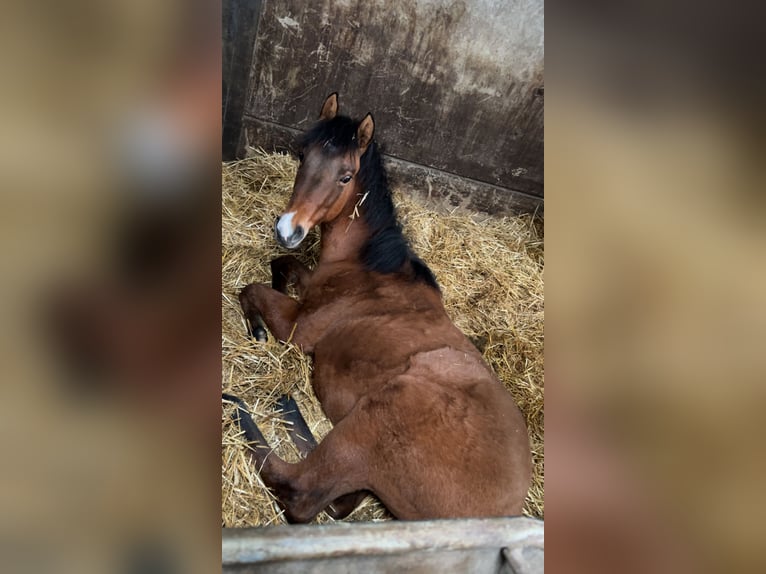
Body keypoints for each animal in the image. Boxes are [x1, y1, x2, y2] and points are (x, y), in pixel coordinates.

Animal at [233, 93, 531, 523]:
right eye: (302, 155)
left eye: (345, 176)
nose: (288, 229)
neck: (369, 266)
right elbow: (282, 264)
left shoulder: (296, 327)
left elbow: (252, 290)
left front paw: (256, 329)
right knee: (338, 498)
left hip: (374, 417)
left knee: (298, 490)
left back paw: (247, 408)